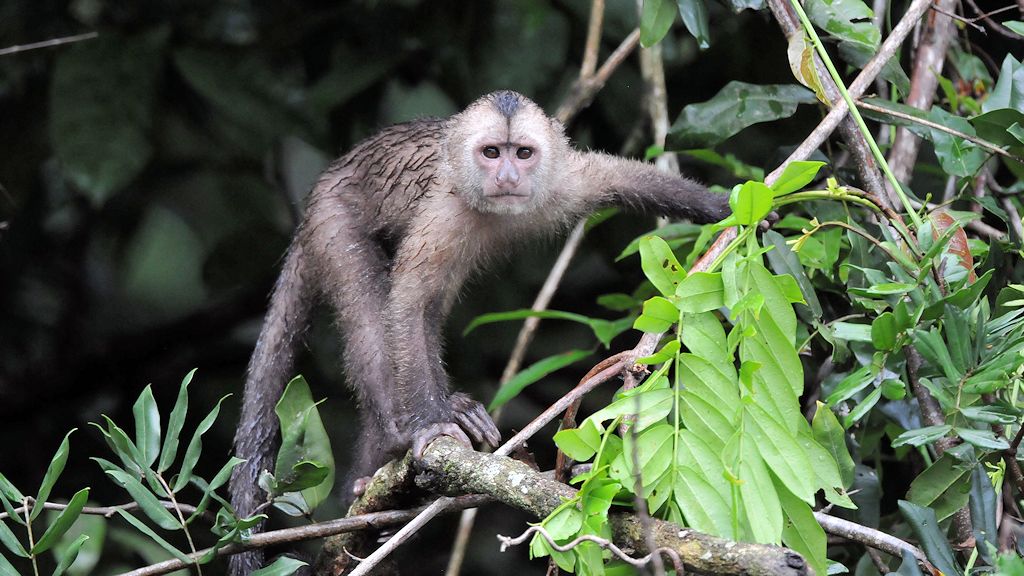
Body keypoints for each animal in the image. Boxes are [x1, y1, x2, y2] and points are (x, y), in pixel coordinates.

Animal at [228, 90, 731, 574]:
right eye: (491, 152)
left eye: (522, 153)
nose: (507, 176)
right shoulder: (444, 213)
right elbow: (406, 305)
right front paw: (430, 425)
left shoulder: (565, 179)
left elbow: (631, 179)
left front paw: (726, 209)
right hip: (333, 220)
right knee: (374, 319)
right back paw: (396, 438)